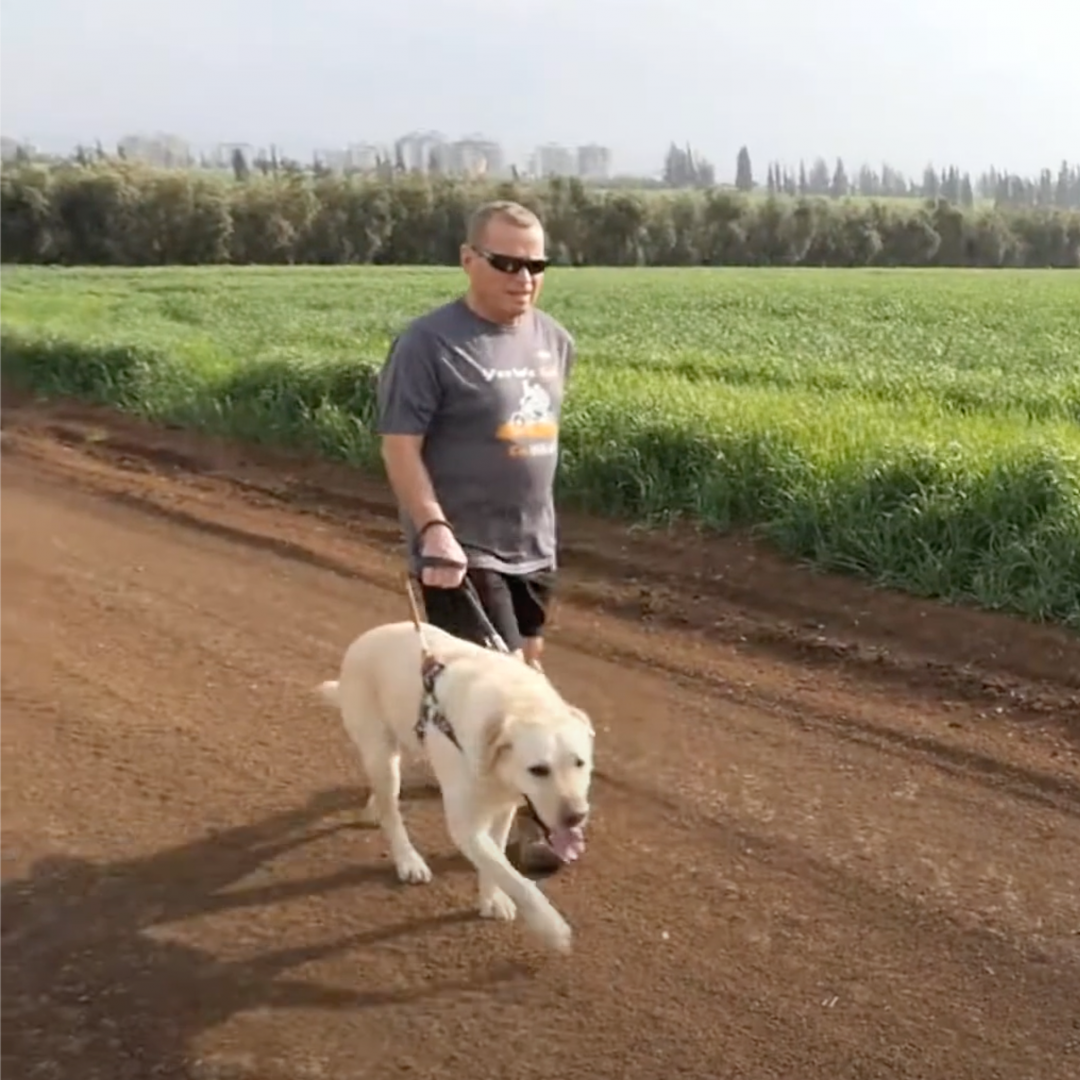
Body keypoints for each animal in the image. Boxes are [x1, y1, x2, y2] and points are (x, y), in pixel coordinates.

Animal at [315, 622, 596, 950]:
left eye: (580, 763)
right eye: (538, 770)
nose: (576, 817)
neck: (518, 706)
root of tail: (365, 637)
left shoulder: (504, 808)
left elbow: (497, 860)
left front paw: (492, 899)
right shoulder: (465, 825)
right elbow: (511, 875)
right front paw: (551, 928)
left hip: (408, 742)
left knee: (386, 795)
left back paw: (374, 809)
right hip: (380, 751)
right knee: (392, 810)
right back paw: (408, 860)